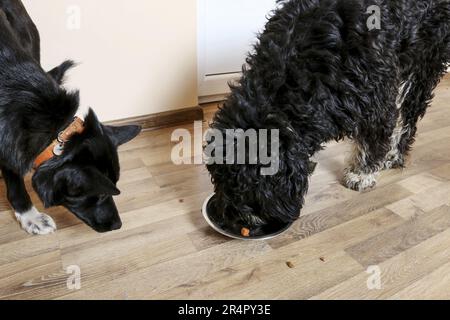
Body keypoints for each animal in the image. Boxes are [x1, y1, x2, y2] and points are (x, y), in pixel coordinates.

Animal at [208, 0, 450, 235]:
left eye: (244, 186)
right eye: (218, 179)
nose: (229, 218)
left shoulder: (377, 93)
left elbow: (373, 136)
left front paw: (361, 173)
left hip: (426, 57)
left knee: (410, 112)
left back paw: (395, 153)